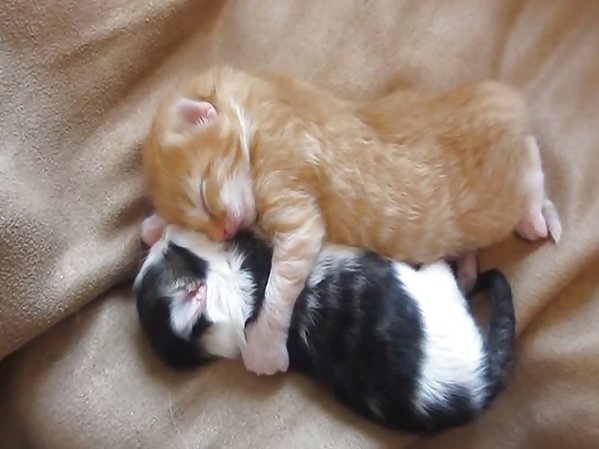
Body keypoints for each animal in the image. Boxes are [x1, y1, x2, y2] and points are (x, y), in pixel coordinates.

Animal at [134, 224, 516, 434]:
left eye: (168, 250)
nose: (164, 236)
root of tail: (476, 390)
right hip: (439, 290)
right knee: (457, 277)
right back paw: (466, 260)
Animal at [142, 65, 560, 375]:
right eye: (202, 225)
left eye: (202, 194)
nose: (225, 230)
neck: (258, 114)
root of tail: (504, 102)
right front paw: (154, 227)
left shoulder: (297, 214)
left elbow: (280, 287)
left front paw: (264, 349)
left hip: (506, 190)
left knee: (532, 165)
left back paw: (537, 218)